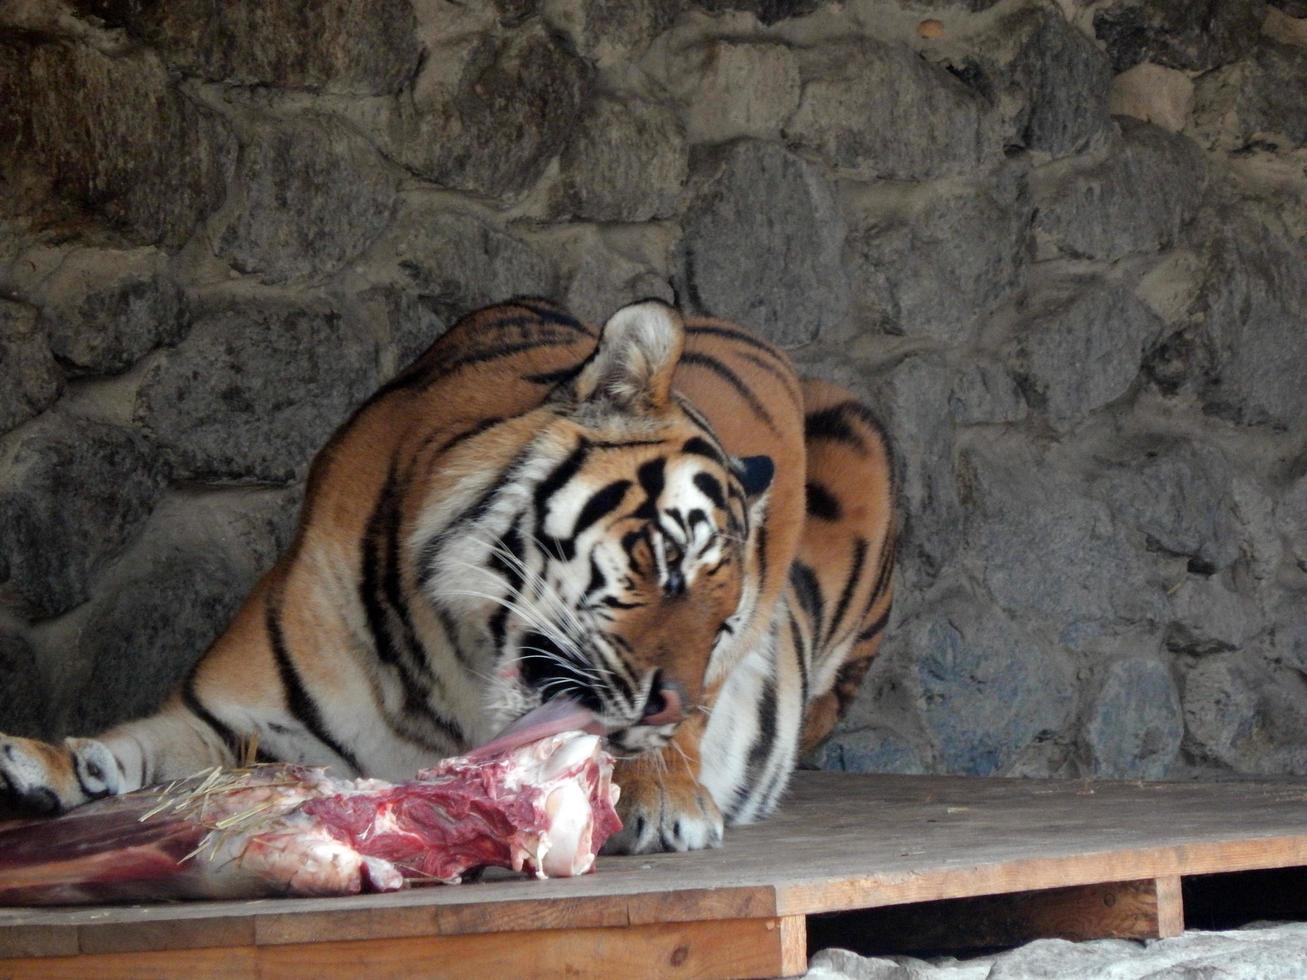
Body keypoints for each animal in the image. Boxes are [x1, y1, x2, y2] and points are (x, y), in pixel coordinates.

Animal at [0, 297, 893, 851]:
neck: (442, 672)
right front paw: (46, 768)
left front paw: (661, 788)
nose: (672, 702)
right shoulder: (226, 718)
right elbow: (137, 746)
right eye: (667, 562)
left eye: (723, 622)